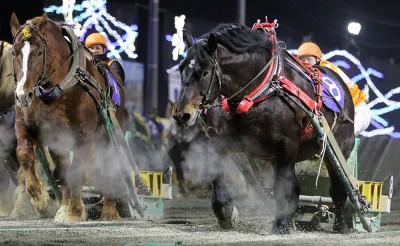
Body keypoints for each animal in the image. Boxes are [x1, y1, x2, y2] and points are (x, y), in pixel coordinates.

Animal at [10, 12, 126, 222]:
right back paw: (64, 204)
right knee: (64, 170)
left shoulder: (85, 134)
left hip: (109, 133)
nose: (22, 95)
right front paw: (40, 199)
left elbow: (79, 170)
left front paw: (75, 211)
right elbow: (24, 155)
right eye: (14, 52)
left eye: (39, 52)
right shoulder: (31, 127)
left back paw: (109, 210)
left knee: (109, 167)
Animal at [173, 22, 354, 234]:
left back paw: (341, 225)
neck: (259, 91)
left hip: (338, 150)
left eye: (204, 72)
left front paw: (280, 225)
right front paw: (227, 214)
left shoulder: (287, 144)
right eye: (181, 68)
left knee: (338, 189)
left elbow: (282, 186)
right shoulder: (220, 140)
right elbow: (216, 177)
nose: (182, 114)